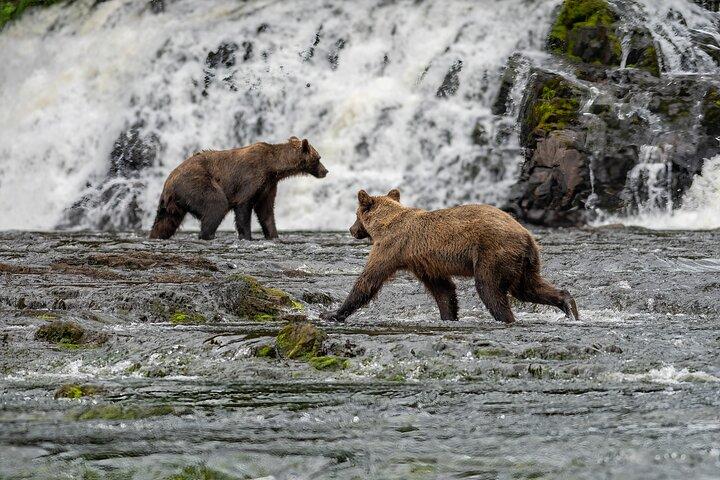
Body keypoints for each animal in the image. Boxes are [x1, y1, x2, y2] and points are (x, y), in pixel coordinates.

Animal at [149, 137, 327, 240]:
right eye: (318, 158)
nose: (325, 171)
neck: (273, 168)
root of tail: (169, 181)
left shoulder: (268, 185)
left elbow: (266, 212)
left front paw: (274, 235)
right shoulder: (251, 178)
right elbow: (244, 207)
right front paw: (247, 236)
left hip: (173, 203)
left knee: (165, 221)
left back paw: (156, 235)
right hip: (196, 183)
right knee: (216, 205)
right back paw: (207, 235)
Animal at [322, 188, 579, 324]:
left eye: (355, 215)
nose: (351, 230)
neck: (384, 225)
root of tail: (526, 235)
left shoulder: (392, 246)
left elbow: (369, 280)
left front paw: (333, 313)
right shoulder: (423, 262)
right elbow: (443, 290)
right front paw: (448, 315)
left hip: (494, 253)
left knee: (490, 288)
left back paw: (505, 317)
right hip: (524, 262)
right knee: (528, 287)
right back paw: (568, 304)